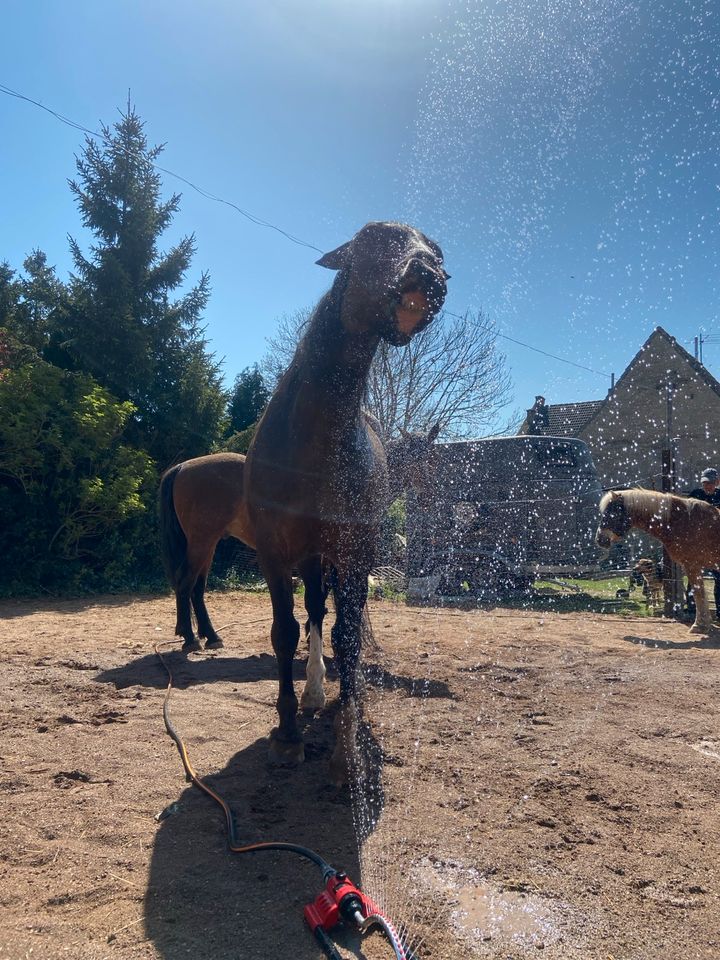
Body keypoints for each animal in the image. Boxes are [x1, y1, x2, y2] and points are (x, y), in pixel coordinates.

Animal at [158, 424, 438, 656]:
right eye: (417, 458)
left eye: (430, 455)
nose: (428, 496)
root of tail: (182, 467)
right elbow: (325, 594)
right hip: (201, 541)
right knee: (186, 582)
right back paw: (190, 638)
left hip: (208, 543)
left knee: (197, 588)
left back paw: (211, 636)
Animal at [245, 221, 448, 784]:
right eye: (375, 238)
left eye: (438, 252)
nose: (432, 275)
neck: (313, 443)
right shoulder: (274, 555)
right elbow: (285, 632)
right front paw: (288, 734)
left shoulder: (356, 554)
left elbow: (350, 635)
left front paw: (347, 744)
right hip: (313, 559)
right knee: (314, 613)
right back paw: (316, 691)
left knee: (335, 620)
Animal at [592, 492, 720, 632]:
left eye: (612, 513)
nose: (599, 539)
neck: (684, 521)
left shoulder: (692, 565)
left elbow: (698, 594)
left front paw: (699, 625)